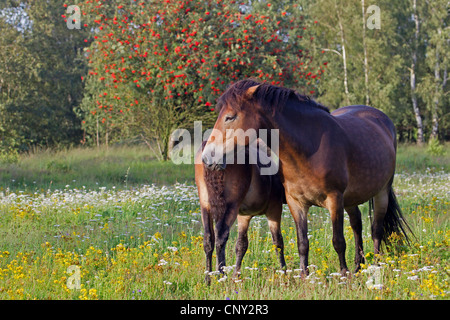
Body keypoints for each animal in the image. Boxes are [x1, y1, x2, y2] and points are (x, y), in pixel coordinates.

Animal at [195, 141, 286, 282]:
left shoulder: (244, 216)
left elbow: (241, 245)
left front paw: (236, 276)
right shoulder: (274, 209)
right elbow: (278, 243)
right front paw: (285, 272)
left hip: (205, 205)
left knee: (208, 239)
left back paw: (207, 279)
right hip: (230, 206)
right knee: (221, 236)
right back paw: (221, 275)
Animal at [202, 78, 414, 276]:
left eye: (230, 117)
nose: (206, 157)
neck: (307, 150)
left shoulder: (334, 199)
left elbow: (338, 241)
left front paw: (343, 275)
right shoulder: (297, 203)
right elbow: (302, 243)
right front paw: (305, 276)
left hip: (381, 193)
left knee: (376, 229)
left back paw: (374, 267)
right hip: (351, 198)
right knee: (357, 224)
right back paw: (358, 267)